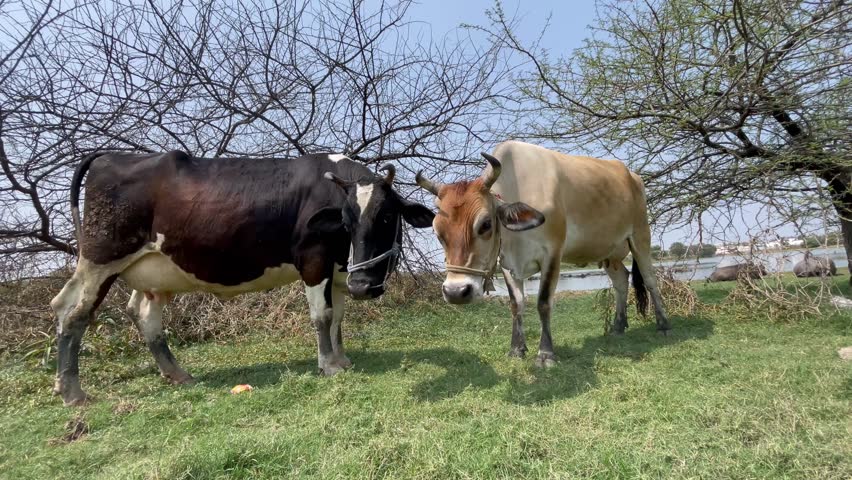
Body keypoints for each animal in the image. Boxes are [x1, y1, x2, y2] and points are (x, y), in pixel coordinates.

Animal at [50, 150, 434, 406]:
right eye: (345, 220)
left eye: (386, 217)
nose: (363, 286)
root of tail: (109, 155)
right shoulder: (314, 258)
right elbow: (322, 316)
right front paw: (329, 366)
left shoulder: (338, 269)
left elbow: (338, 316)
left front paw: (341, 359)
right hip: (100, 258)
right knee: (73, 311)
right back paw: (73, 393)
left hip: (154, 272)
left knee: (144, 316)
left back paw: (177, 375)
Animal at [416, 141, 669, 367]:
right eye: (437, 231)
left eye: (486, 224)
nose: (456, 292)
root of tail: (632, 175)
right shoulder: (506, 263)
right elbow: (516, 304)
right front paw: (516, 349)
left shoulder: (552, 254)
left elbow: (543, 302)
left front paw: (546, 354)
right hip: (609, 253)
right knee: (621, 281)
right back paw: (618, 327)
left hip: (640, 236)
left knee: (650, 279)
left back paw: (663, 324)